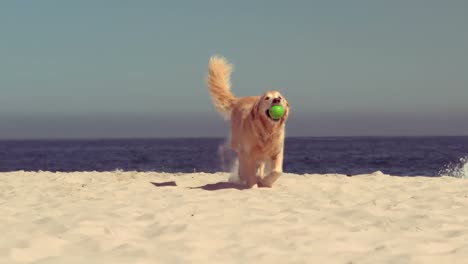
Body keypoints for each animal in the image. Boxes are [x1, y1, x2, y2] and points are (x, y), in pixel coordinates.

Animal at [206, 55, 288, 188]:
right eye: (267, 98)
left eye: (279, 97)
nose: (276, 100)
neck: (267, 130)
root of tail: (238, 100)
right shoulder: (249, 152)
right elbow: (248, 170)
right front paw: (253, 184)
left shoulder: (277, 151)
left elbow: (277, 171)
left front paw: (266, 182)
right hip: (236, 142)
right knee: (243, 161)